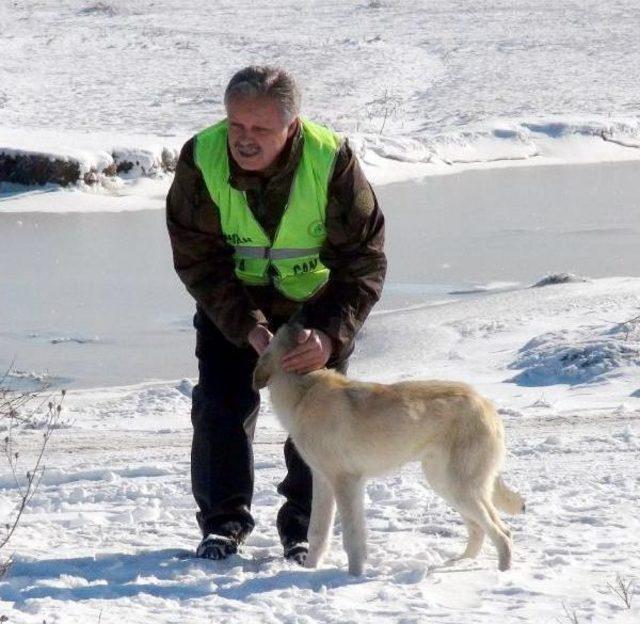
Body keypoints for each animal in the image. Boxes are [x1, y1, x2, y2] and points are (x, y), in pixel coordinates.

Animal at [254, 326, 524, 576]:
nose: (296, 323)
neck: (304, 391)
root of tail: (487, 404)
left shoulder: (346, 482)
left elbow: (352, 536)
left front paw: (353, 576)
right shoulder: (322, 480)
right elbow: (318, 532)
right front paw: (310, 570)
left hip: (460, 488)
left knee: (502, 532)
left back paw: (502, 574)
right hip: (446, 485)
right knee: (481, 529)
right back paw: (459, 563)